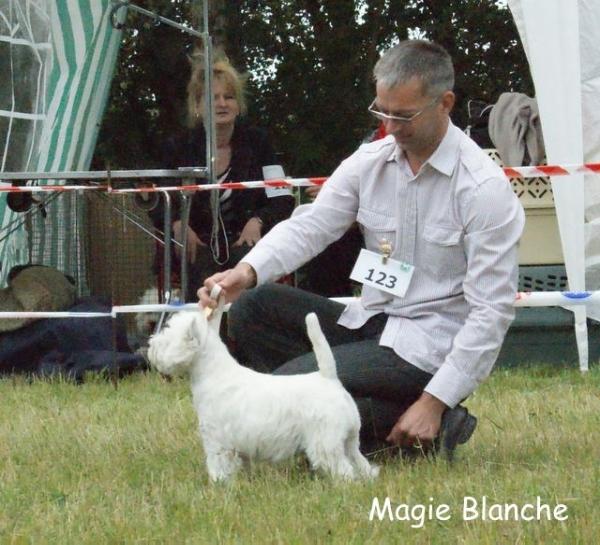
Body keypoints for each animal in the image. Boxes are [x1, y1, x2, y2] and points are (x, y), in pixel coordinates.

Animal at [148, 306, 378, 480]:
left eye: (167, 338)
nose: (150, 346)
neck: (213, 373)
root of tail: (329, 378)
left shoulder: (217, 440)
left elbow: (217, 464)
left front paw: (218, 485)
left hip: (325, 441)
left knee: (344, 470)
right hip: (349, 439)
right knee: (360, 462)